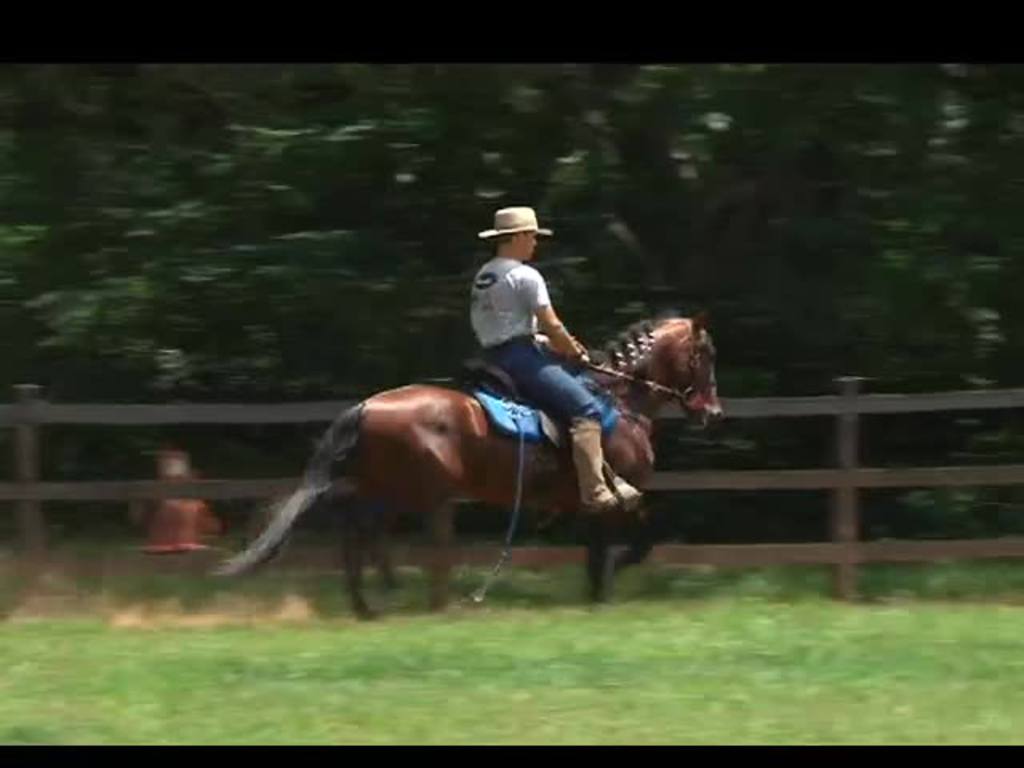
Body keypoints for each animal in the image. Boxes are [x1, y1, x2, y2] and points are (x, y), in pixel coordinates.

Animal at [218, 313, 720, 618]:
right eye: (705, 355)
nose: (712, 411)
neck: (619, 400)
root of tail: (365, 406)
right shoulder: (620, 493)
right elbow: (641, 538)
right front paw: (614, 581)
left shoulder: (590, 505)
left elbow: (598, 549)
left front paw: (597, 592)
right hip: (410, 490)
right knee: (362, 530)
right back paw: (387, 595)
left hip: (386, 488)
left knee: (357, 531)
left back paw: (371, 600)